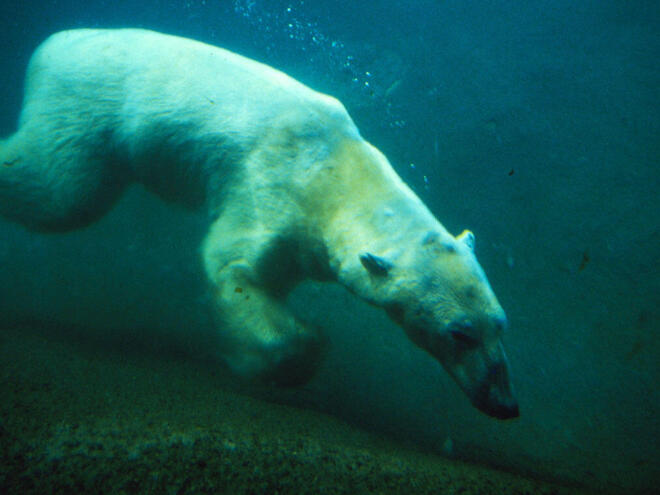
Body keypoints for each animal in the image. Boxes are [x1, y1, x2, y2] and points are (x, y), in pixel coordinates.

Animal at [0, 29, 520, 418]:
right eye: (459, 333)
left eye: (499, 324)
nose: (506, 404)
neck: (338, 167)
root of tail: (53, 43)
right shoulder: (273, 189)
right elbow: (234, 265)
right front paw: (303, 349)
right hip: (86, 107)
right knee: (60, 191)